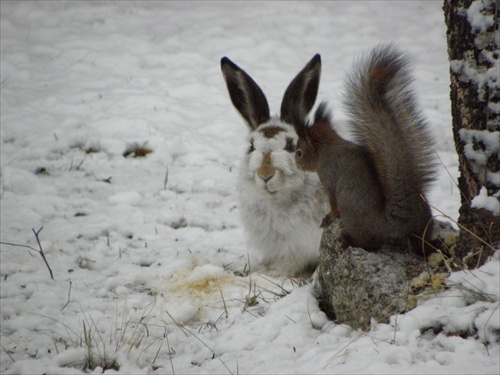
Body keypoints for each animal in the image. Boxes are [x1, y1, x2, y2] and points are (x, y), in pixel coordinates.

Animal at [294, 45, 436, 254]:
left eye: (299, 153)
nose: (296, 164)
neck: (327, 146)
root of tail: (385, 223)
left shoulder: (328, 179)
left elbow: (333, 205)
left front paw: (330, 216)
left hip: (349, 205)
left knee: (369, 243)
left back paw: (347, 240)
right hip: (423, 223)